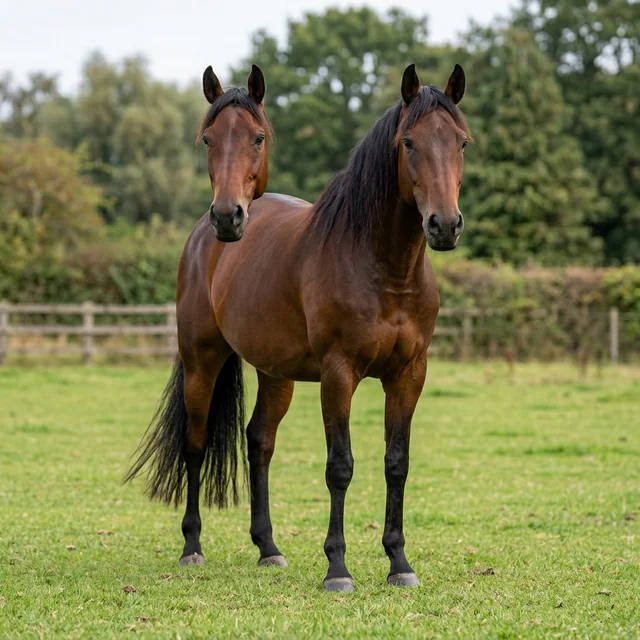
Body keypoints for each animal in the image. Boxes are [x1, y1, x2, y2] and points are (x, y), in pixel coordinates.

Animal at [126, 63, 470, 593]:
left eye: (461, 142)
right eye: (409, 142)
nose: (444, 225)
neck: (383, 267)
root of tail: (205, 234)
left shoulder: (409, 374)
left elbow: (397, 463)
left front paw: (399, 562)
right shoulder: (338, 374)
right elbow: (340, 467)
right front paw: (338, 569)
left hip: (276, 373)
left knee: (259, 441)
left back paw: (268, 548)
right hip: (202, 362)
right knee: (196, 443)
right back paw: (192, 548)